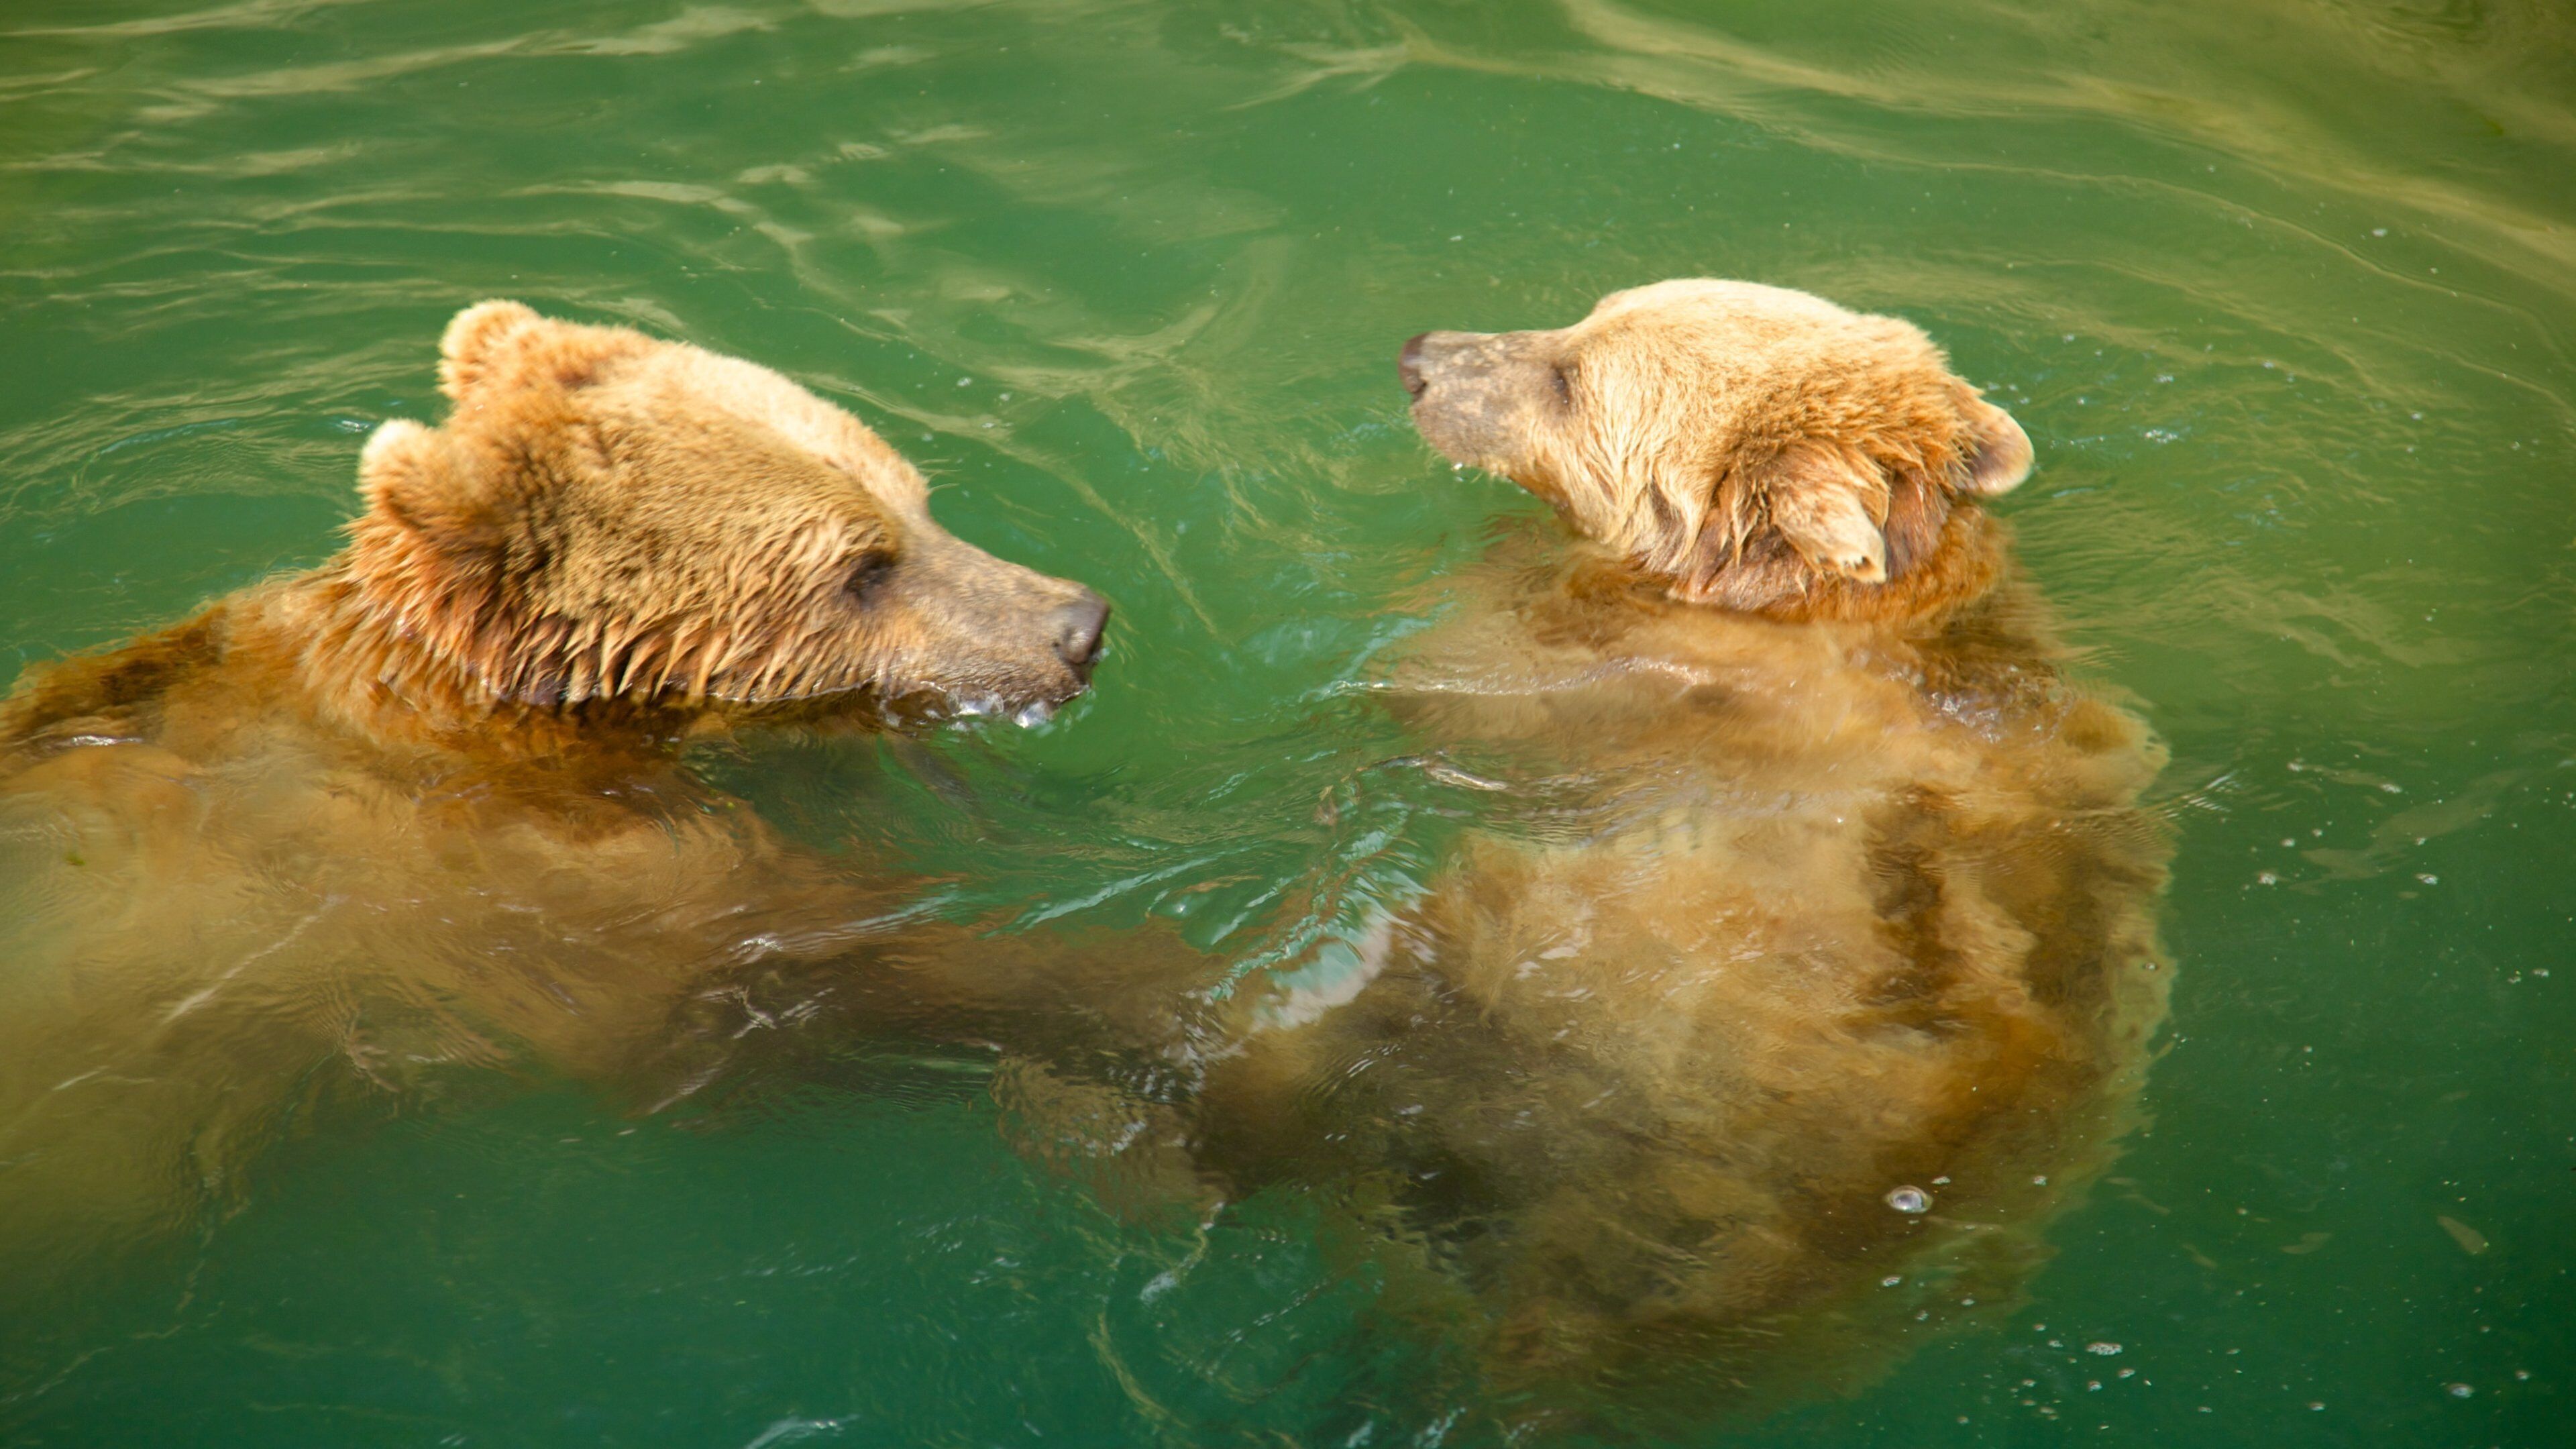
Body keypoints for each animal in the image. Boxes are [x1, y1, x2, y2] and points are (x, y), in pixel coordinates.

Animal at [0, 302, 1147, 1284]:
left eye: (915, 499)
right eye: (863, 568)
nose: (1078, 627)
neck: (511, 718)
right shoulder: (509, 880)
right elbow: (758, 996)